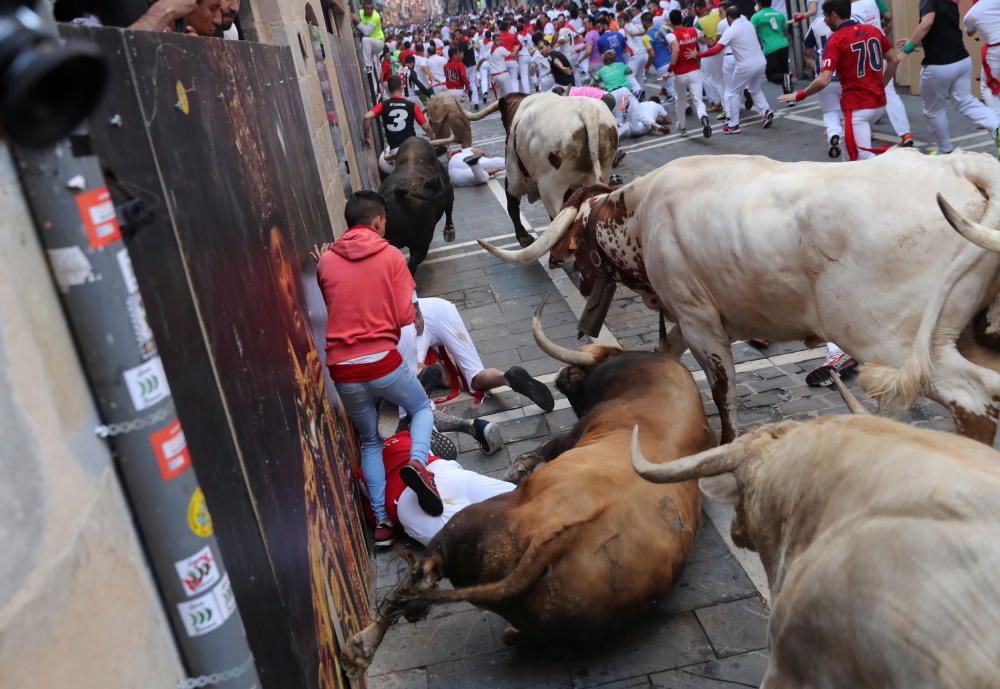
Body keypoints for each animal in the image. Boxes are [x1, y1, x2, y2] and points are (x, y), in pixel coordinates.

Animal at [340, 296, 708, 672]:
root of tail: (550, 543)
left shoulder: (578, 431)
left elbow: (548, 445)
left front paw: (518, 467)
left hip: (466, 523)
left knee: (417, 576)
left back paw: (361, 644)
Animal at [482, 148, 1000, 444]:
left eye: (580, 241)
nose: (562, 266)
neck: (642, 217)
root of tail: (958, 164)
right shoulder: (686, 319)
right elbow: (664, 353)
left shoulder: (701, 324)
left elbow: (723, 390)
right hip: (966, 334)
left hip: (895, 342)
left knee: (973, 400)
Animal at [494, 92, 612, 250]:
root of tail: (586, 110)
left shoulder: (514, 178)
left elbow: (512, 206)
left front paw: (523, 237)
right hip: (601, 173)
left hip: (550, 186)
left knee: (559, 220)